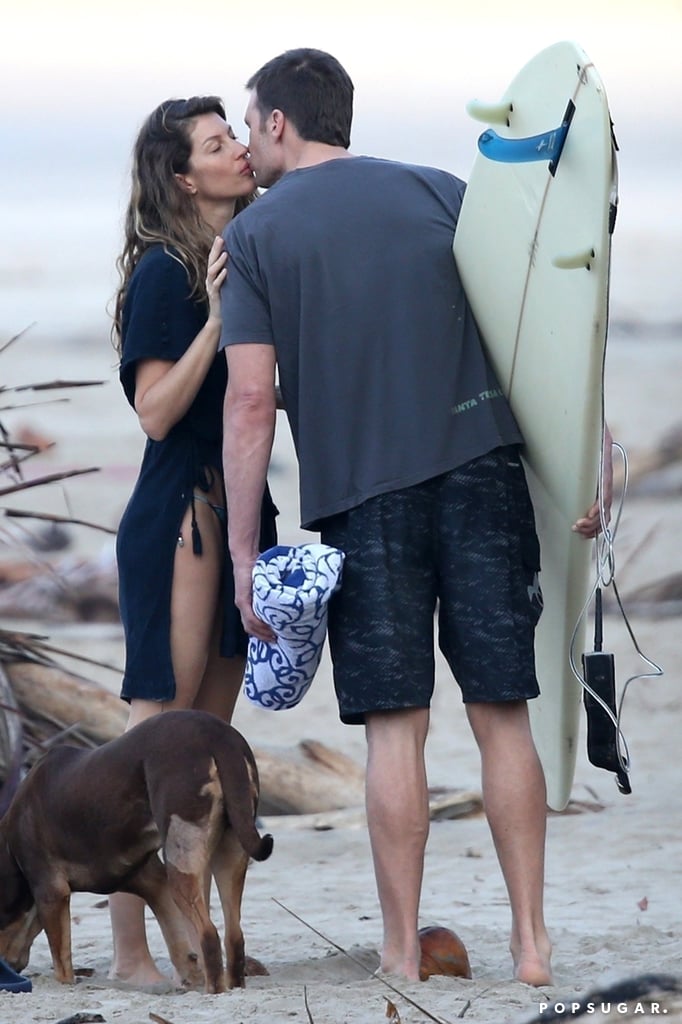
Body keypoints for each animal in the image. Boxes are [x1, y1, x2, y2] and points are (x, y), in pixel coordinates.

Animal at [0, 708, 270, 987]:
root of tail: (217, 734)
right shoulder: (155, 884)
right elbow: (179, 946)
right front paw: (190, 981)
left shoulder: (51, 892)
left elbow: (62, 965)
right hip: (231, 851)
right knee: (233, 936)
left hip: (182, 861)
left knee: (208, 935)